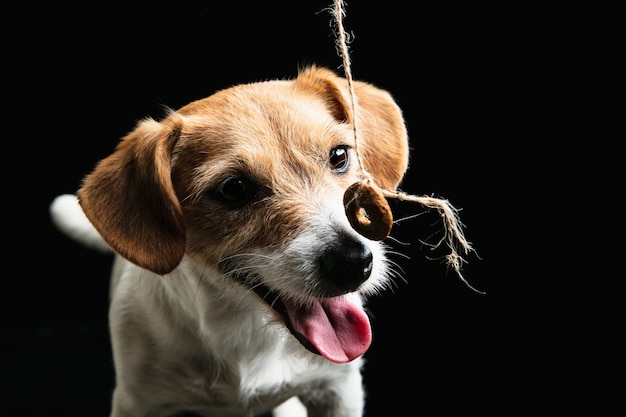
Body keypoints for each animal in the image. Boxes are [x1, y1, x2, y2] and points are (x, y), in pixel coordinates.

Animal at [50, 66, 410, 416]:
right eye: (234, 189)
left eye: (338, 156)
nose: (354, 263)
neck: (244, 327)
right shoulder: (136, 402)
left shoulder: (339, 390)